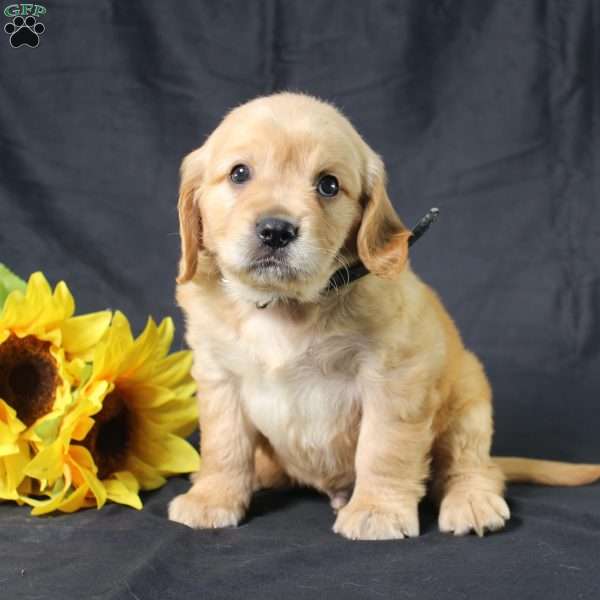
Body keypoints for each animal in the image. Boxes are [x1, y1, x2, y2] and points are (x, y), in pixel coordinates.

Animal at [168, 92, 600, 540]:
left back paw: (472, 501)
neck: (286, 305)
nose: (276, 230)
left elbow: (383, 448)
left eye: (328, 185)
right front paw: (212, 497)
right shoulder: (219, 376)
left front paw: (378, 509)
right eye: (239, 173)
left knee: (474, 467)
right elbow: (224, 445)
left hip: (469, 401)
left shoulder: (394, 377)